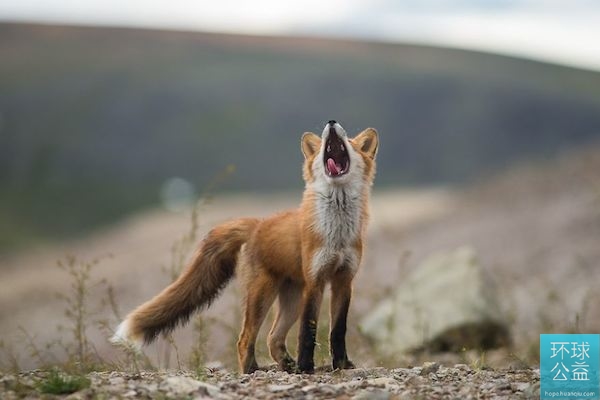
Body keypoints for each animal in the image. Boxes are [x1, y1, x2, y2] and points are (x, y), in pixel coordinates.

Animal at [110, 120, 378, 374]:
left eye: (349, 142)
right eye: (324, 143)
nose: (331, 122)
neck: (337, 234)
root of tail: (257, 224)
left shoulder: (344, 279)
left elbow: (338, 330)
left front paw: (342, 364)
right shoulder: (316, 281)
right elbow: (308, 330)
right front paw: (306, 367)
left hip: (291, 300)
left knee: (272, 338)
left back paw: (286, 367)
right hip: (263, 294)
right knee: (245, 338)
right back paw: (253, 370)